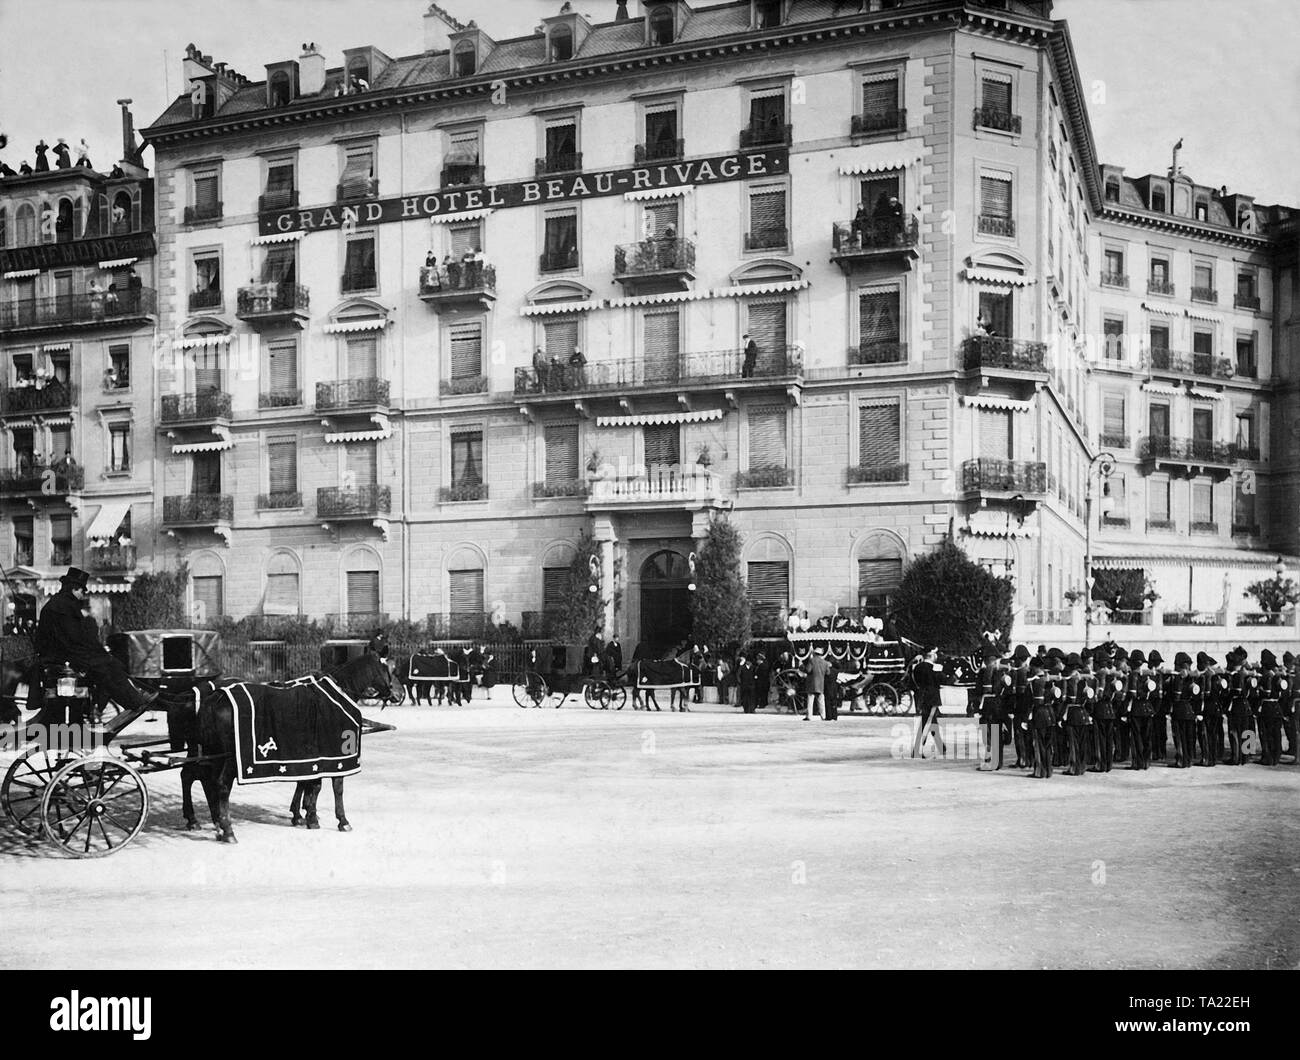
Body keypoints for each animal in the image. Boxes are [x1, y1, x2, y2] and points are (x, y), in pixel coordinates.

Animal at [178, 650, 397, 842]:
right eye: (389, 669)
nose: (398, 694)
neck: (338, 693)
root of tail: (214, 698)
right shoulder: (335, 753)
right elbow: (336, 787)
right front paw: (340, 820)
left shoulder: (312, 755)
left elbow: (312, 784)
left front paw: (308, 816)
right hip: (230, 758)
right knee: (219, 785)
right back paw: (226, 830)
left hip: (213, 754)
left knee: (203, 781)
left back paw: (215, 824)